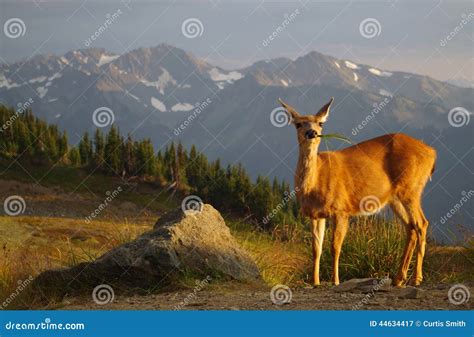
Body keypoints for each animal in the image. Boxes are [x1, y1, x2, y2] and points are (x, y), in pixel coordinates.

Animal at [278, 96, 436, 286]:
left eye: (321, 123)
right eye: (298, 124)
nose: (312, 133)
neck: (314, 185)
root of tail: (432, 152)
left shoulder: (341, 209)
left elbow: (335, 246)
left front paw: (335, 281)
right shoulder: (315, 215)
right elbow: (316, 249)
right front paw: (315, 282)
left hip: (411, 188)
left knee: (421, 223)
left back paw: (416, 278)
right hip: (395, 198)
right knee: (411, 227)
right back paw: (399, 279)